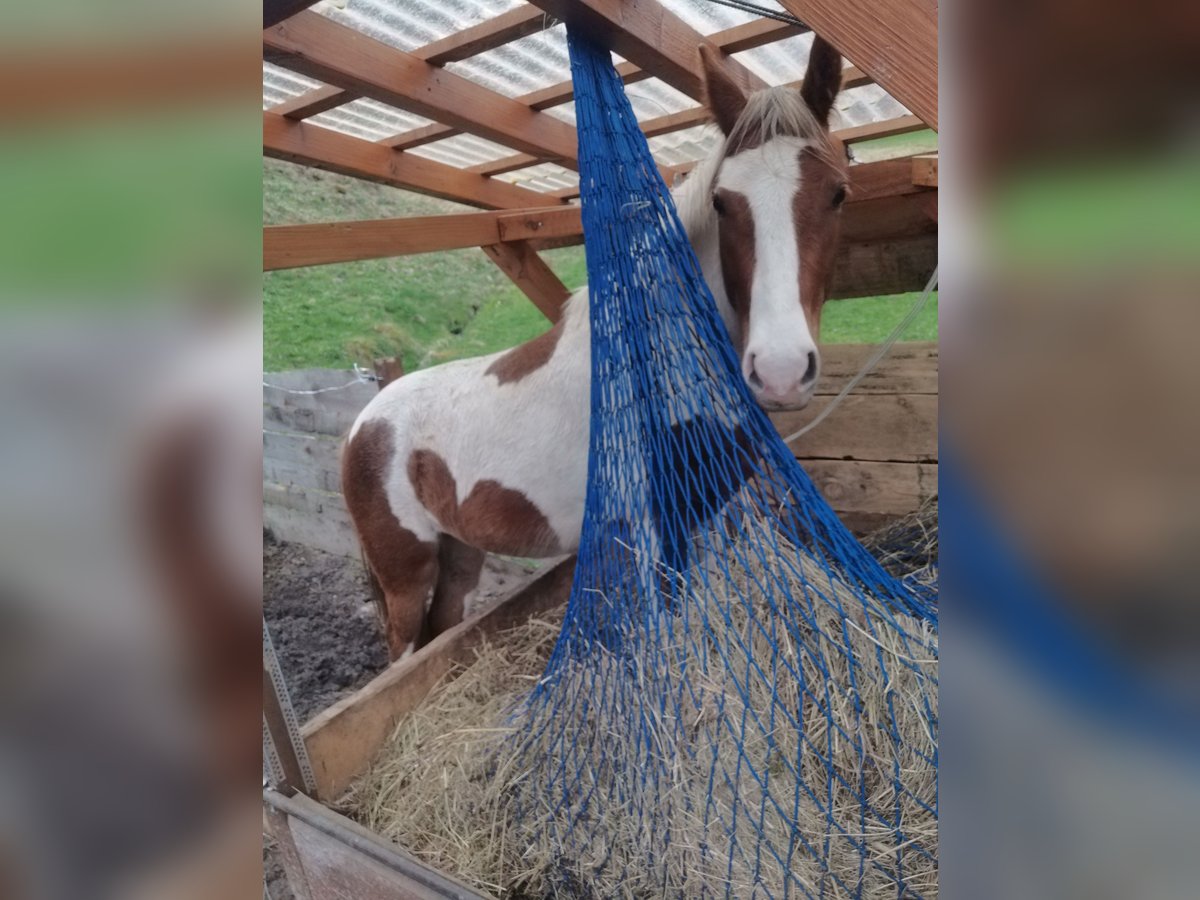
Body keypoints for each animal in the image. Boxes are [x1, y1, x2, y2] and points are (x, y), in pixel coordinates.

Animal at [345, 40, 854, 662]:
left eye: (837, 193)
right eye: (723, 204)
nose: (780, 371)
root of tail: (365, 421)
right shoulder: (648, 526)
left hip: (459, 553)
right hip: (405, 573)